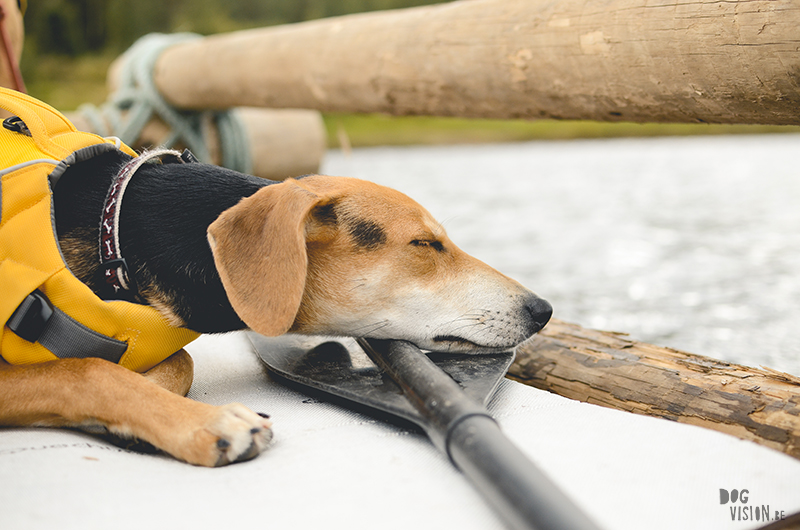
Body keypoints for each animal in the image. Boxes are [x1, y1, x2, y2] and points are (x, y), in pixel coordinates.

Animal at [0, 142, 552, 464]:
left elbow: (177, 362)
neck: (114, 228)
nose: (542, 310)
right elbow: (89, 370)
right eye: (424, 244)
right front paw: (201, 422)